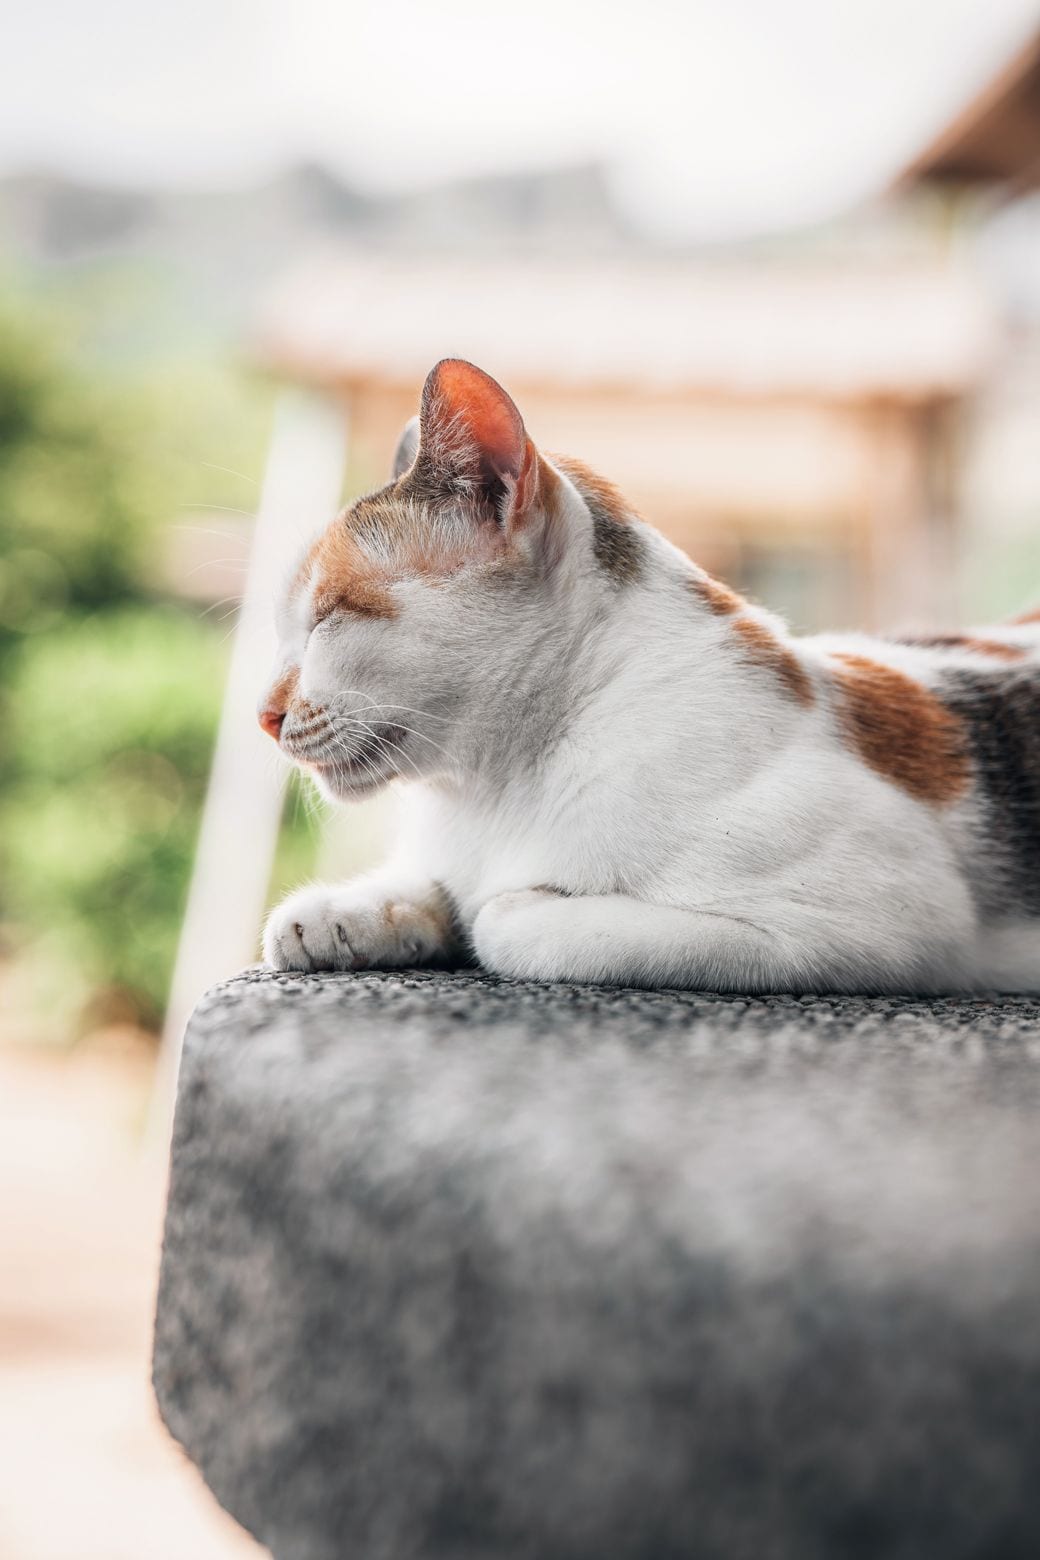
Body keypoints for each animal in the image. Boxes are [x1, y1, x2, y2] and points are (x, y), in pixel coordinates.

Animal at [258, 358, 1040, 992]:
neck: (494, 792)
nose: (264, 716)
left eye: (329, 617)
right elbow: (430, 883)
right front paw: (347, 913)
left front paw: (500, 903)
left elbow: (504, 919)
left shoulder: (885, 919)